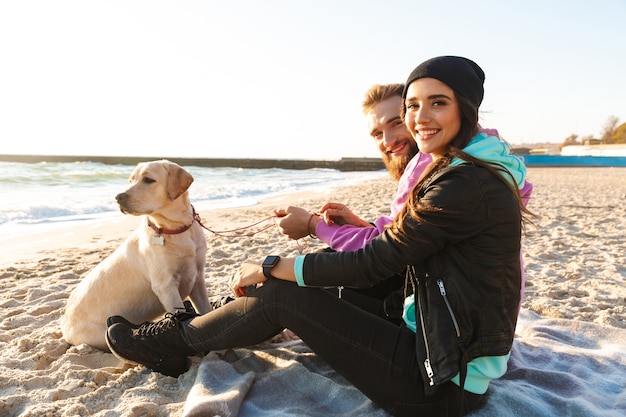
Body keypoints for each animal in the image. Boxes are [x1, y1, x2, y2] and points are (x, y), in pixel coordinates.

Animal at [62, 160, 211, 352]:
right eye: (131, 180)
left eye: (148, 180)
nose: (118, 197)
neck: (174, 229)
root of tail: (64, 323)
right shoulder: (166, 285)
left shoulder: (198, 278)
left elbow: (207, 310)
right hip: (100, 336)